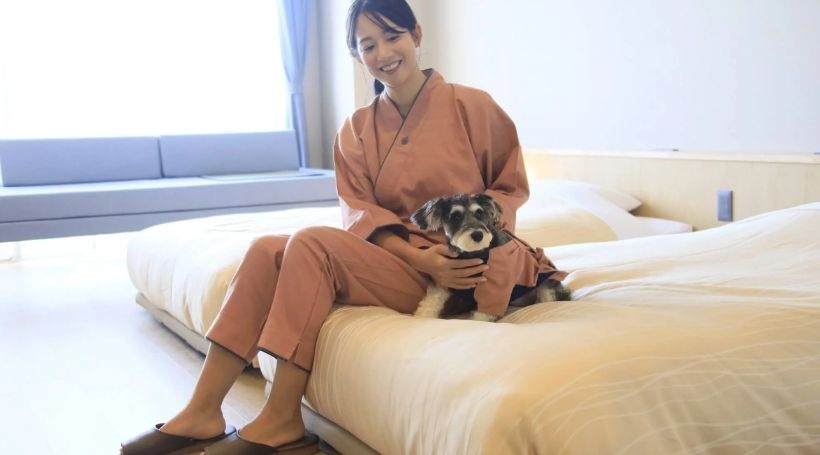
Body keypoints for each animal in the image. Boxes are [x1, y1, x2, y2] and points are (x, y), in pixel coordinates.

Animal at [410, 193, 571, 321]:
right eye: (455, 216)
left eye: (479, 213)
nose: (477, 235)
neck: (474, 253)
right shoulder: (446, 280)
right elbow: (431, 301)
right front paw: (421, 318)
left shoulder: (494, 290)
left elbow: (482, 316)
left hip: (547, 283)